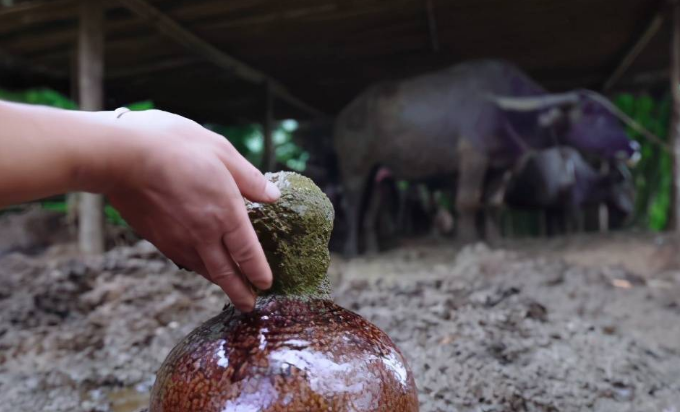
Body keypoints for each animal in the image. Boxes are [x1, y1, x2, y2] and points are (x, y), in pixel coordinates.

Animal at [332, 59, 640, 256]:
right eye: (593, 113)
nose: (635, 147)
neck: (508, 113)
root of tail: (345, 113)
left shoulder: (502, 168)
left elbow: (492, 204)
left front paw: (494, 241)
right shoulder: (473, 156)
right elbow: (468, 201)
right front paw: (467, 242)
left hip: (380, 174)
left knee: (372, 207)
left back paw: (372, 250)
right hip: (354, 168)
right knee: (353, 204)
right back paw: (351, 251)